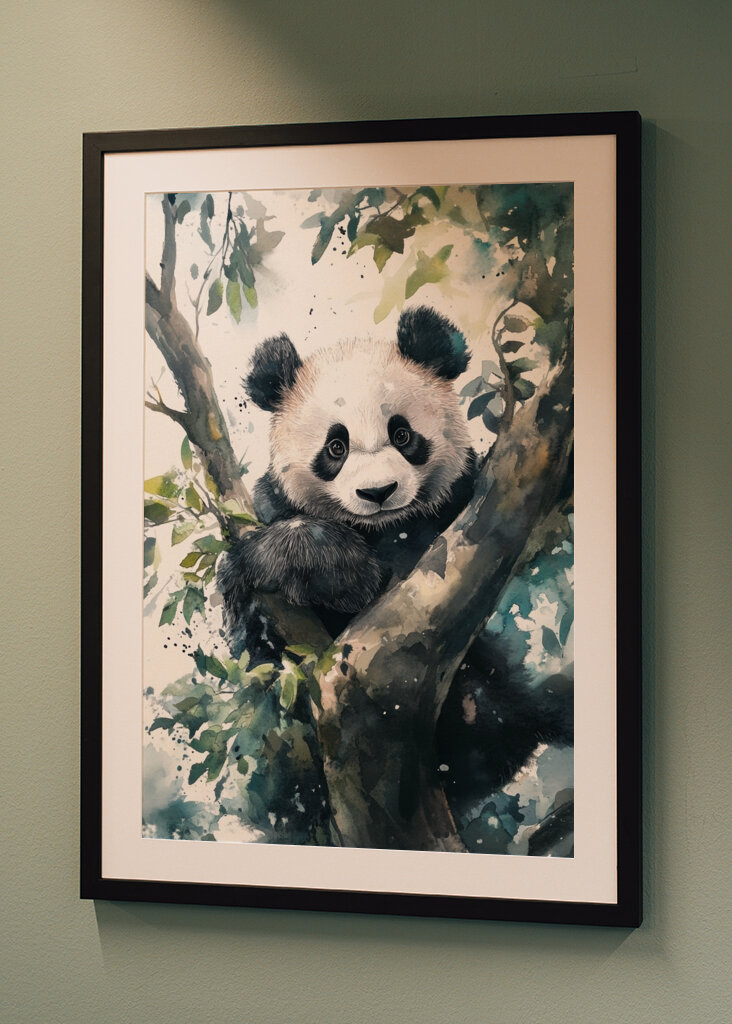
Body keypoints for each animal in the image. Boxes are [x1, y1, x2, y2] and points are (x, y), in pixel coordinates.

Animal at [217, 305, 573, 821]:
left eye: (402, 435)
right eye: (336, 447)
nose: (378, 492)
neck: (383, 527)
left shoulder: (459, 510)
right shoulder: (271, 509)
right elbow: (253, 639)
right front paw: (323, 566)